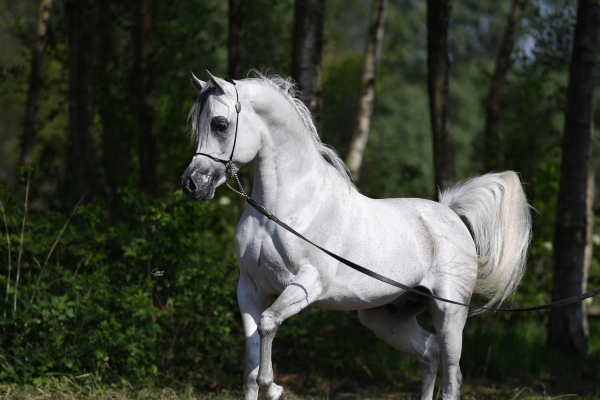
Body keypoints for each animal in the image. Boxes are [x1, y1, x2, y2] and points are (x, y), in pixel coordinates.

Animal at [181, 70, 532, 400]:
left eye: (220, 124)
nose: (192, 184)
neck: (283, 210)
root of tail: (450, 214)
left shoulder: (307, 284)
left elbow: (267, 327)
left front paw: (276, 389)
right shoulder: (250, 289)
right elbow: (251, 367)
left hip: (449, 314)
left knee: (452, 375)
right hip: (386, 318)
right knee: (429, 353)